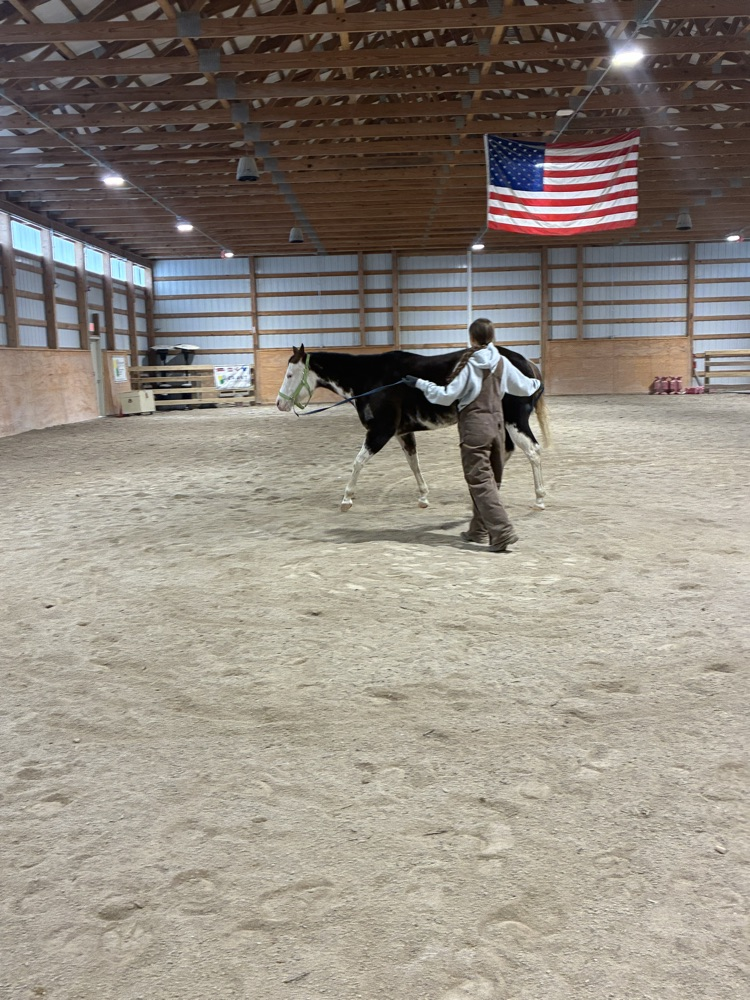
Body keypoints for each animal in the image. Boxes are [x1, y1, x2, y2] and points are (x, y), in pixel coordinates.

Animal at [276, 344, 549, 512]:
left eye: (289, 375)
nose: (280, 403)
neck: (372, 378)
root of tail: (528, 364)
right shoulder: (402, 433)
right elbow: (413, 463)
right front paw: (423, 497)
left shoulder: (380, 431)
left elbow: (358, 462)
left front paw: (346, 499)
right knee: (507, 450)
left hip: (516, 421)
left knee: (533, 452)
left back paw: (539, 499)